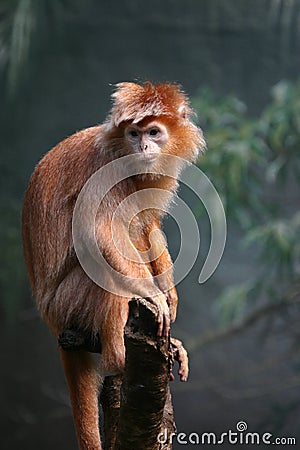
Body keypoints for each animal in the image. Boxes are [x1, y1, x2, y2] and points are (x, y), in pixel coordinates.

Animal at [21, 81, 206, 450]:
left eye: (153, 132)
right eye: (134, 134)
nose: (144, 146)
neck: (121, 152)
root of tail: (52, 323)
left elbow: (147, 226)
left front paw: (169, 293)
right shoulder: (104, 170)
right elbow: (102, 233)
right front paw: (155, 296)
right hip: (65, 304)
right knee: (105, 275)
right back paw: (119, 358)